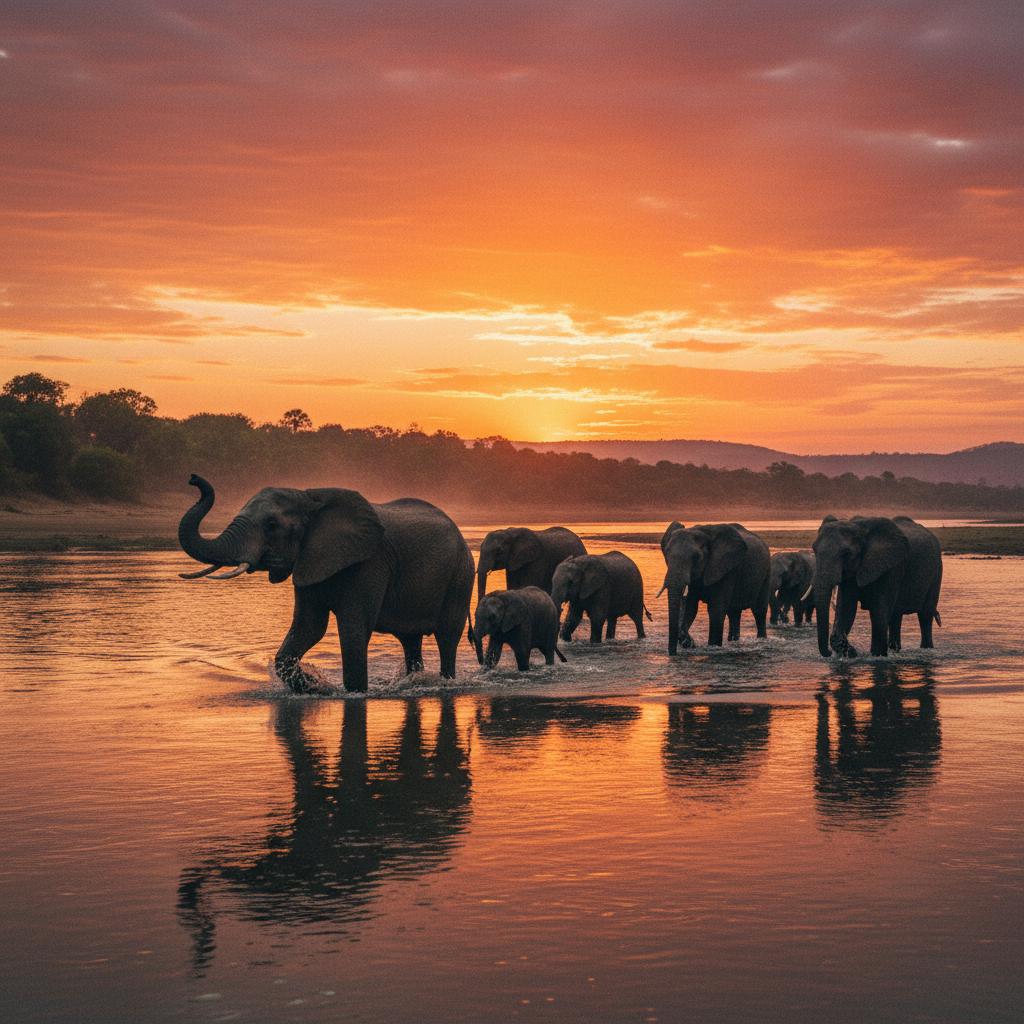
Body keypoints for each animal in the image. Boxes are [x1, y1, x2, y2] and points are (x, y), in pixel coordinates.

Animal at [177, 475, 475, 693]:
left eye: (271, 526)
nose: (193, 479)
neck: (309, 497)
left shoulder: (369, 563)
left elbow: (353, 629)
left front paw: (351, 692)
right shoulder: (308, 560)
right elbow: (309, 628)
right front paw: (315, 686)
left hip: (460, 576)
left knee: (447, 636)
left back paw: (446, 681)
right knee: (410, 640)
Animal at [658, 522, 770, 653]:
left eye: (696, 557)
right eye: (666, 555)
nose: (673, 654)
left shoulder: (726, 569)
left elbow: (716, 610)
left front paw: (712, 647)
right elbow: (690, 606)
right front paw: (689, 643)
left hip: (766, 572)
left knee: (759, 611)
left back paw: (762, 640)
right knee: (733, 612)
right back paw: (733, 641)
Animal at [810, 515, 942, 658]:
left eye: (846, 554)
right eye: (814, 550)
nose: (829, 653)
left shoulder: (892, 567)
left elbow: (879, 610)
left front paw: (875, 656)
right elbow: (846, 607)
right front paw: (851, 653)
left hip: (937, 571)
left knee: (925, 614)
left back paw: (926, 649)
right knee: (896, 615)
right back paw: (895, 651)